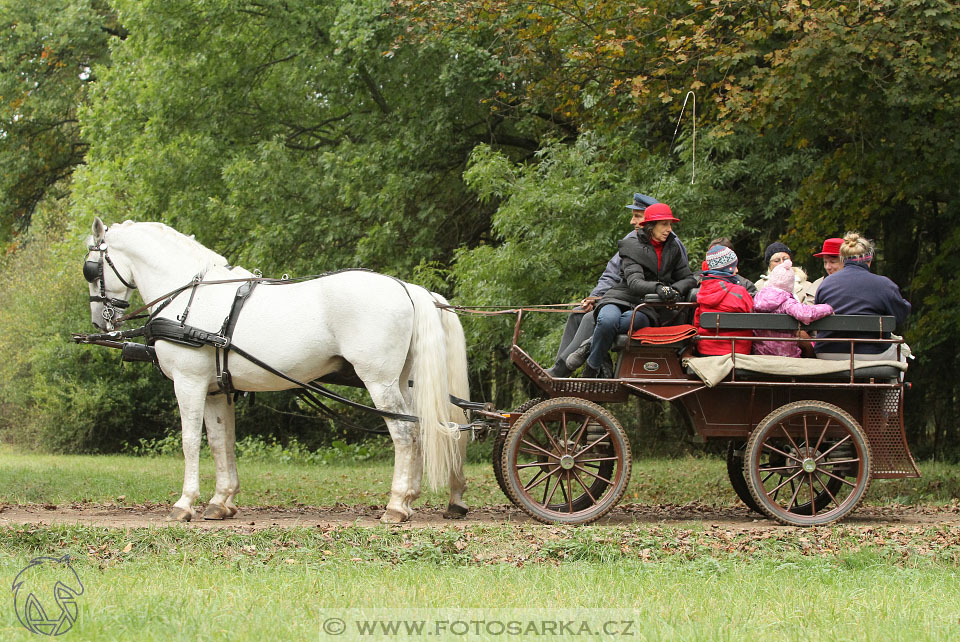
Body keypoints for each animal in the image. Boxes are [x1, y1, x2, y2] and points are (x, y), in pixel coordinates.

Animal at [84, 216, 466, 520]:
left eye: (90, 267)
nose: (101, 320)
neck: (189, 299)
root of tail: (408, 288)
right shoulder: (216, 390)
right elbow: (221, 442)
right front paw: (221, 501)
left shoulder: (188, 382)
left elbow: (190, 441)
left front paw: (184, 503)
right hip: (402, 381)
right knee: (418, 427)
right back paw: (411, 499)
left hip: (378, 381)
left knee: (404, 433)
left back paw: (396, 505)